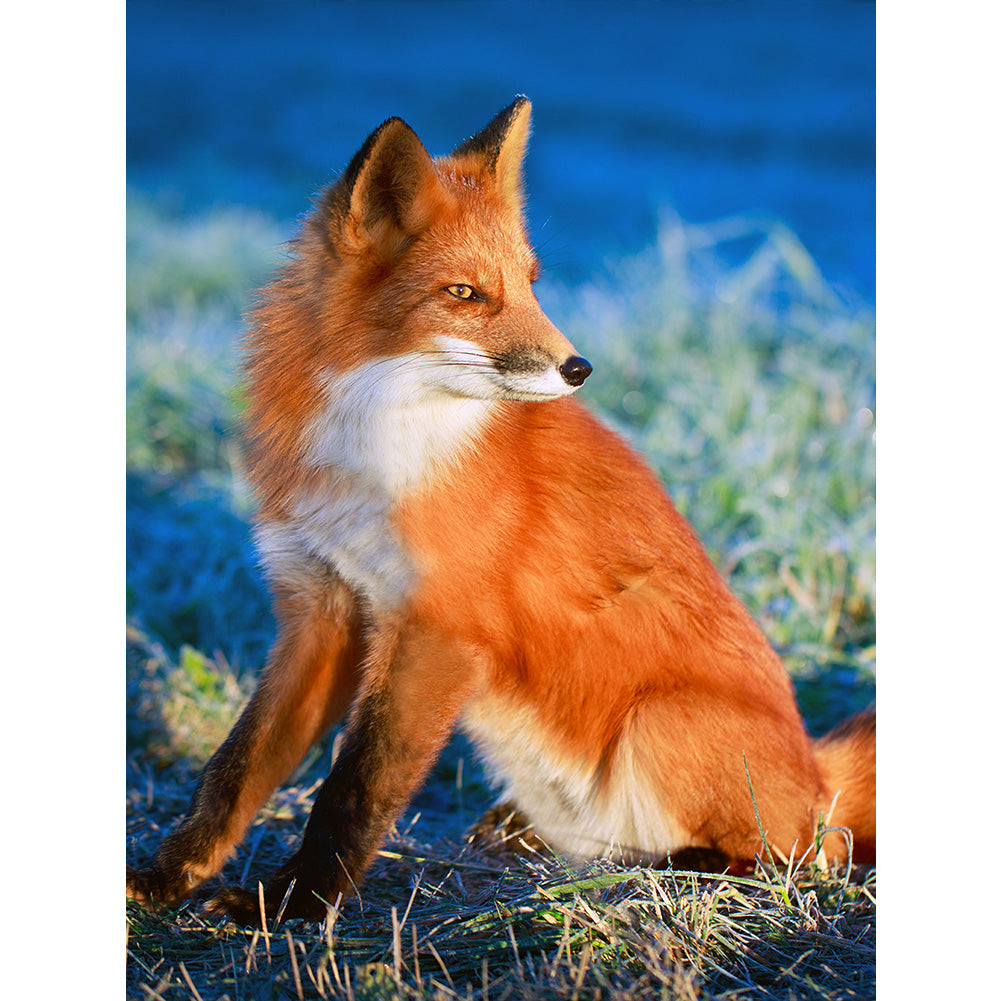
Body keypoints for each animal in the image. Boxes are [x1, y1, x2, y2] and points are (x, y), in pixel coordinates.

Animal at [126, 96, 875, 924]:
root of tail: (818, 774)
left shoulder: (436, 631)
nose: (578, 367)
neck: (375, 447)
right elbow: (234, 768)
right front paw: (165, 877)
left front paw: (294, 905)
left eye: (529, 282)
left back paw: (686, 869)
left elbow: (355, 789)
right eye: (464, 293)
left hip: (658, 724)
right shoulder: (320, 610)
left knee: (800, 856)